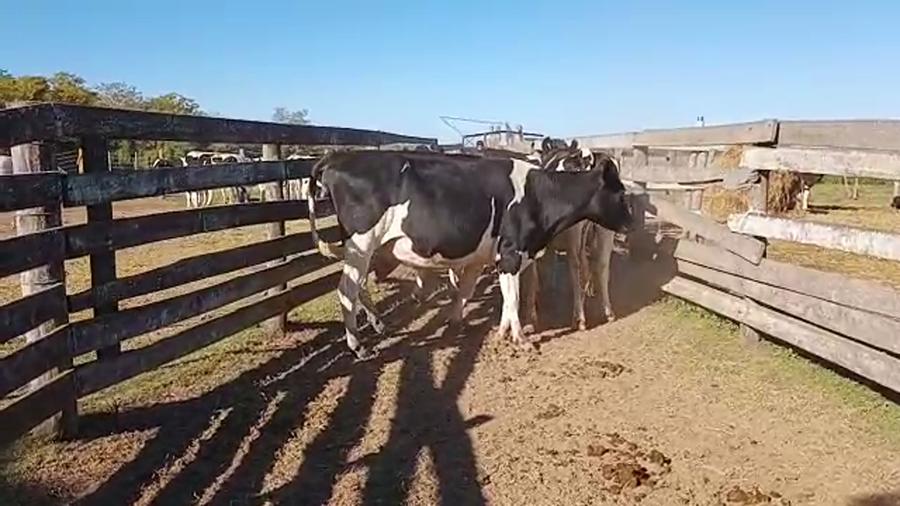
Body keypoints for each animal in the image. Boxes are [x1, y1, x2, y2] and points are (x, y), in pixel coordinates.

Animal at [307, 149, 633, 360]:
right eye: (621, 194)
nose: (631, 223)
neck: (538, 196)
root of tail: (338, 156)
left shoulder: (486, 257)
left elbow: (474, 292)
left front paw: (496, 332)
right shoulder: (511, 253)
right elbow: (513, 297)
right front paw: (521, 339)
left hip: (364, 248)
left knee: (359, 287)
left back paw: (377, 324)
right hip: (361, 242)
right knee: (346, 290)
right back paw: (358, 346)